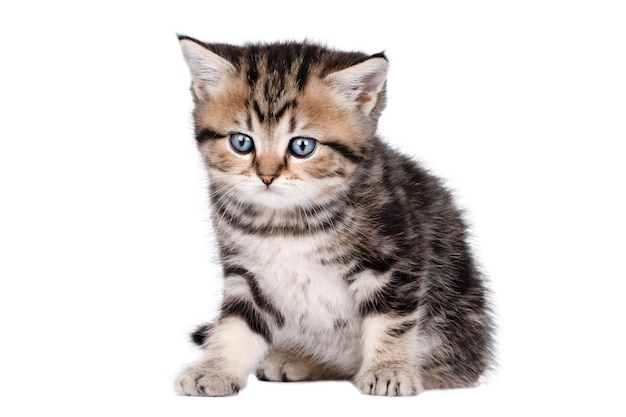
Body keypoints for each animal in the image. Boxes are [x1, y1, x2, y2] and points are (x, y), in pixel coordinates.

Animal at [173, 35, 490, 396]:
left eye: (302, 147)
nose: (267, 176)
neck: (284, 222)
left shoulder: (395, 255)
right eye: (242, 142)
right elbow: (236, 323)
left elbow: (393, 320)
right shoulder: (247, 274)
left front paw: (390, 369)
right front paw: (216, 370)